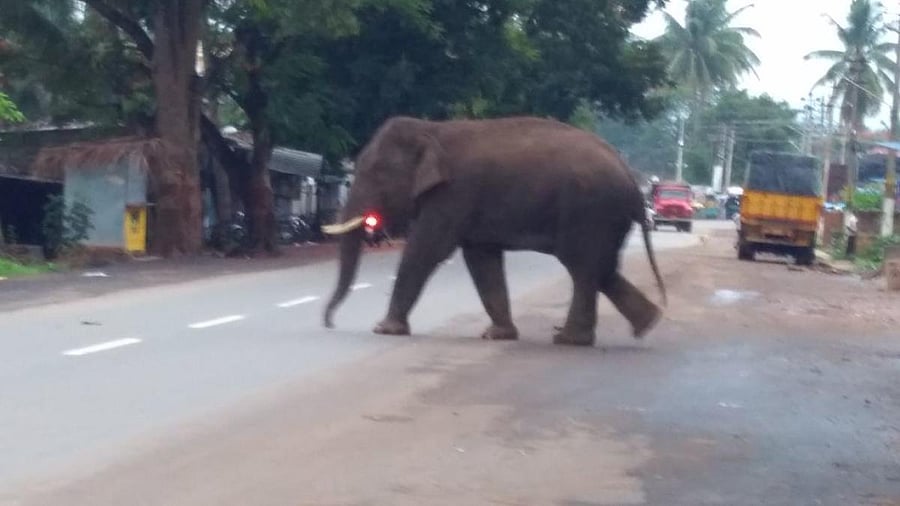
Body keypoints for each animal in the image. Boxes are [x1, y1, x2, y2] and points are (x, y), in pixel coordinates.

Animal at [321, 115, 666, 346]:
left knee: (582, 267)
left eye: (376, 173)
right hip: (605, 218)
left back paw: (570, 340)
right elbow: (481, 259)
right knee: (601, 268)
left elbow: (426, 250)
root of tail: (631, 177)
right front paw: (498, 335)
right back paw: (647, 323)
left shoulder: (453, 195)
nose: (330, 323)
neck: (432, 128)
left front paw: (385, 329)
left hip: (589, 212)